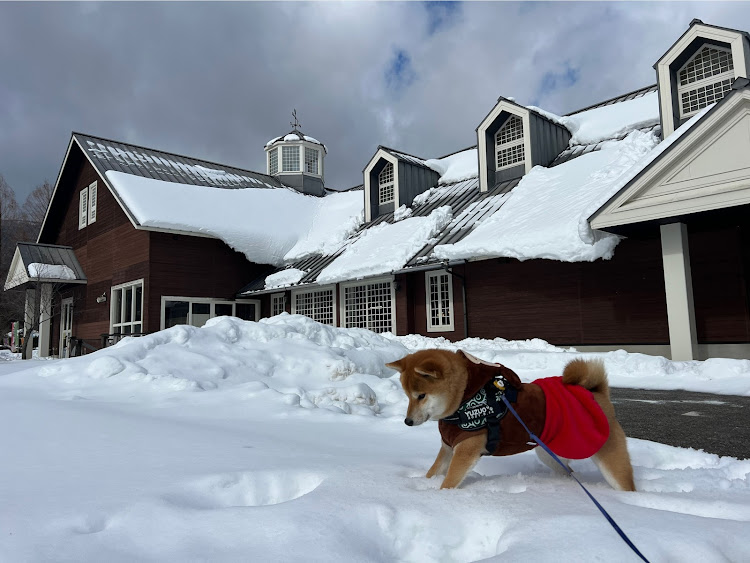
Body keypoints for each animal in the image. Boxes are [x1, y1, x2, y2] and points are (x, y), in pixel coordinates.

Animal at [390, 350, 636, 492]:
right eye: (407, 395)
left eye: (421, 395)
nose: (407, 421)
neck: (465, 399)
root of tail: (595, 392)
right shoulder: (449, 447)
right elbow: (433, 471)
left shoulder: (465, 450)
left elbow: (448, 482)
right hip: (548, 453)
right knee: (569, 471)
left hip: (608, 456)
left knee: (624, 483)